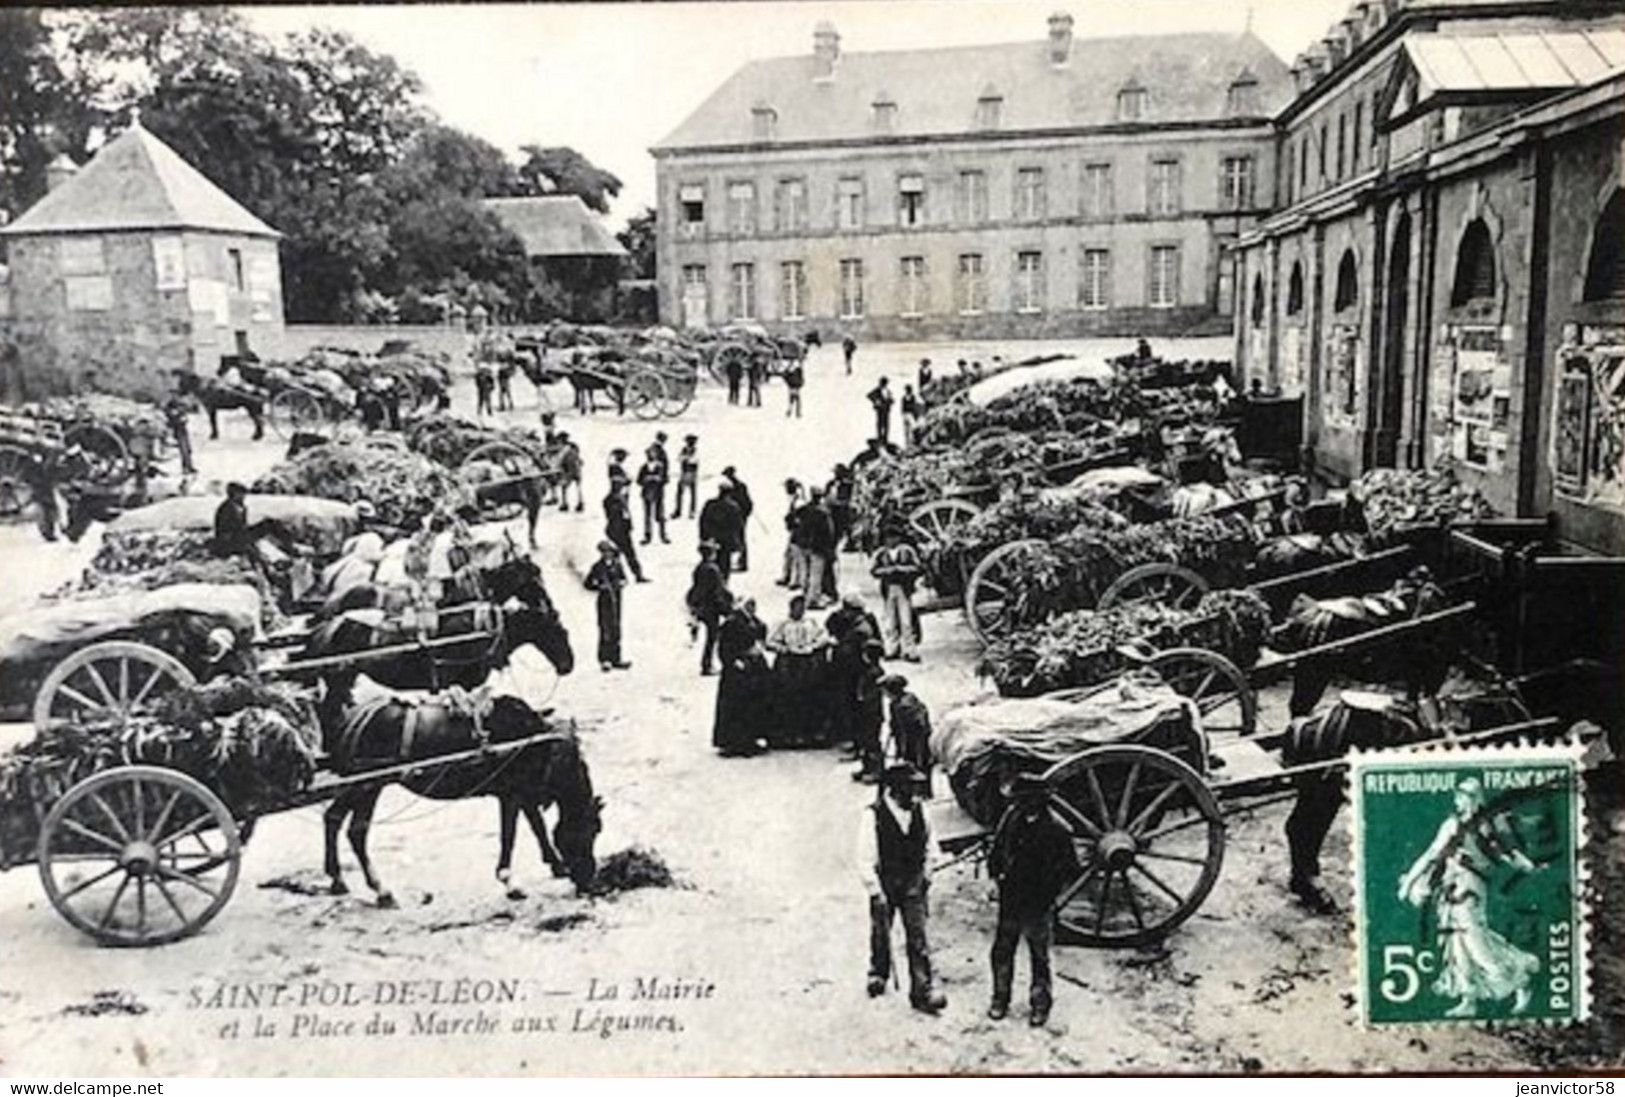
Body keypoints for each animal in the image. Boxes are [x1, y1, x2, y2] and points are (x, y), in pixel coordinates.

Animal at [316, 695, 604, 910]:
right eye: (590, 830)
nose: (588, 882)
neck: (533, 739)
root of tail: (352, 717)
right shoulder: (511, 794)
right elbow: (509, 835)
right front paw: (510, 882)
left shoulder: (523, 792)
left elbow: (537, 827)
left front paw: (555, 864)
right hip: (368, 786)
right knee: (356, 831)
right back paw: (381, 891)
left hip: (358, 787)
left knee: (333, 819)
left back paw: (338, 880)